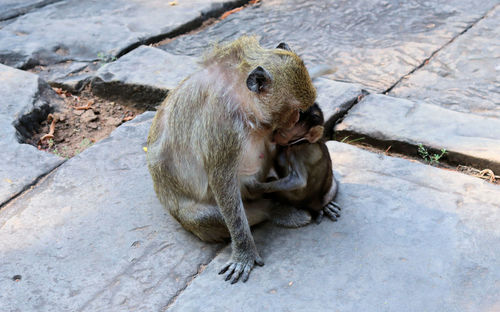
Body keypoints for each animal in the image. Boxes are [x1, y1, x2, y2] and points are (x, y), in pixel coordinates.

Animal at [146, 36, 314, 282]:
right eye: (298, 111)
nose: (295, 122)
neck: (242, 98)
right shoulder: (222, 124)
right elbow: (221, 180)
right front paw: (244, 252)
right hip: (188, 216)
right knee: (205, 217)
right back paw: (273, 209)